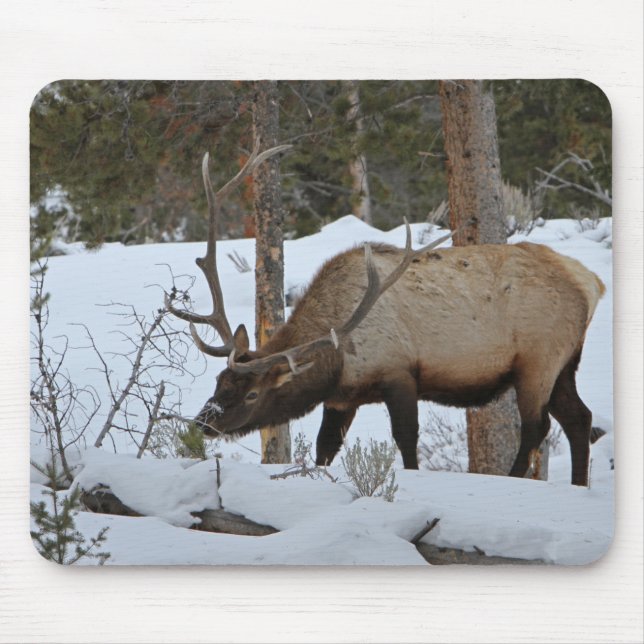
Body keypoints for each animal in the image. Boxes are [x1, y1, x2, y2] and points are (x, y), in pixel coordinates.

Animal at [166, 143, 605, 486]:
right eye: (219, 380)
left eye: (252, 393)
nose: (202, 423)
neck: (338, 357)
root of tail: (591, 283)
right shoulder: (343, 397)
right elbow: (326, 448)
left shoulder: (399, 372)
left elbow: (406, 439)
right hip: (565, 363)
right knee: (579, 418)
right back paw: (579, 486)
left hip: (538, 359)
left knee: (537, 427)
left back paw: (515, 481)